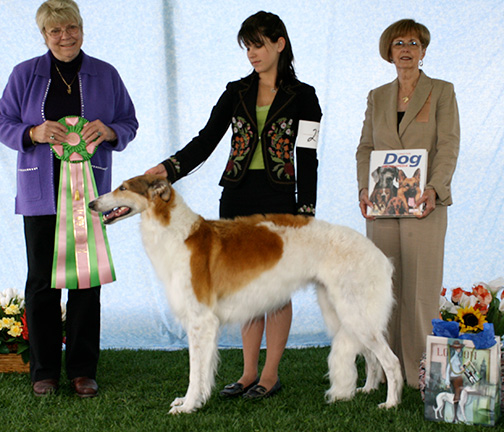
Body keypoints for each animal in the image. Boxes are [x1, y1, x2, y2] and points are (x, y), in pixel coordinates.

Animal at [89, 176, 402, 416]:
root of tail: (381, 256)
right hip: (342, 314)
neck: (178, 234)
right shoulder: (203, 324)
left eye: (123, 187)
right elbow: (203, 371)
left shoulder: (201, 321)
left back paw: (390, 403)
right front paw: (194, 401)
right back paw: (367, 389)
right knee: (372, 358)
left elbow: (194, 371)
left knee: (390, 360)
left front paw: (187, 406)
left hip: (354, 312)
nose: (91, 204)